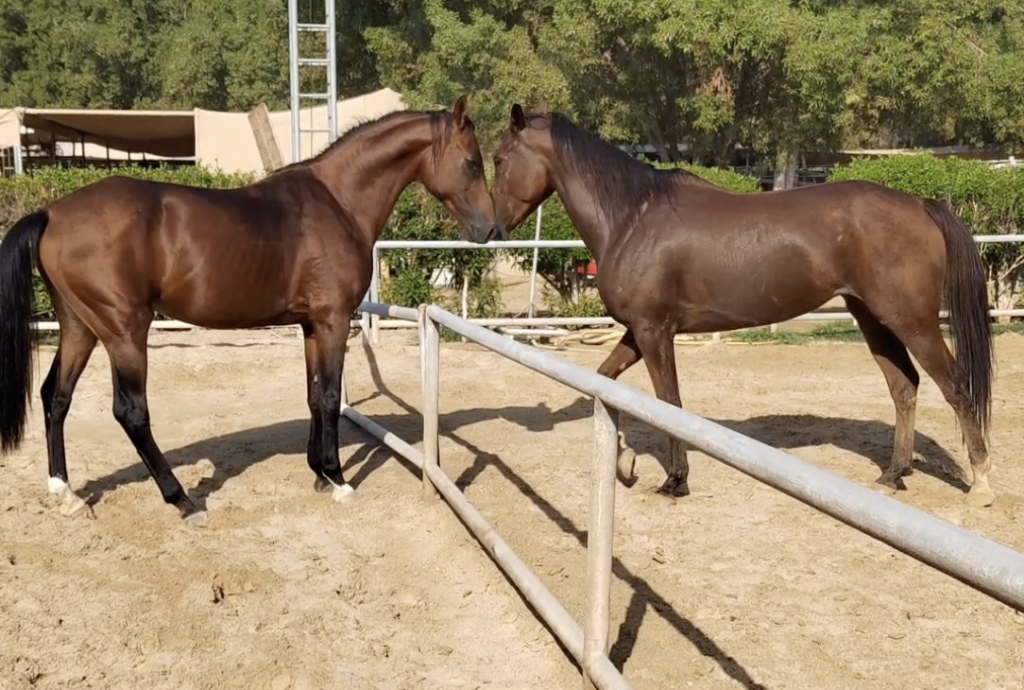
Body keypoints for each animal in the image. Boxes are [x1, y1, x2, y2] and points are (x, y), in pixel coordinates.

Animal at [0, 96, 495, 524]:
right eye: (472, 162)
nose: (490, 228)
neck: (338, 201)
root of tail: (51, 212)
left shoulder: (311, 326)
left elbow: (314, 394)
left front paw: (318, 474)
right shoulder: (333, 321)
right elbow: (330, 396)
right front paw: (337, 479)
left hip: (79, 327)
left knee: (56, 397)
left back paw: (66, 493)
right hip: (123, 331)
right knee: (130, 412)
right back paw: (182, 500)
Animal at [491, 104, 995, 507]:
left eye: (498, 158)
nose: (489, 227)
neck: (632, 218)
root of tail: (920, 204)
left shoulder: (655, 331)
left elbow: (669, 401)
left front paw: (676, 480)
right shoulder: (638, 332)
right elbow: (605, 379)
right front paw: (625, 462)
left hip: (913, 322)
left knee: (955, 386)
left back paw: (981, 484)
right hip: (872, 317)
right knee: (903, 386)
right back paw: (894, 473)